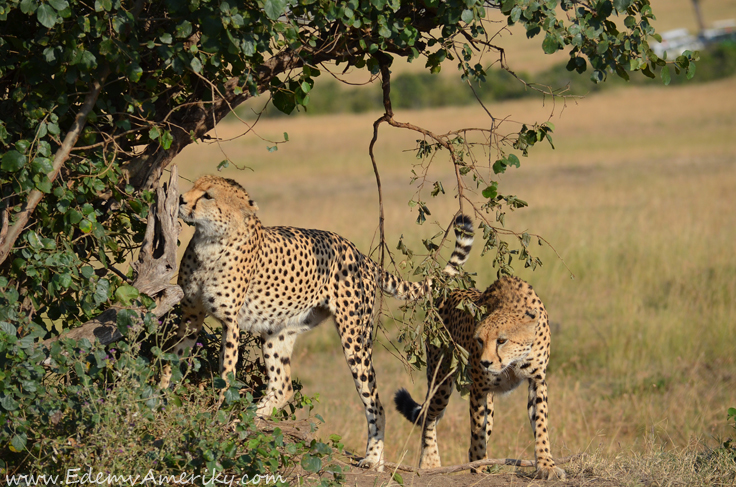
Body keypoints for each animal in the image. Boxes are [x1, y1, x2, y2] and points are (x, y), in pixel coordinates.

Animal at [396, 276, 564, 478]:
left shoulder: (537, 381)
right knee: (429, 414)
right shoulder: (478, 388)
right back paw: (431, 461)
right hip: (441, 382)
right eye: (479, 340)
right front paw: (479, 468)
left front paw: (546, 465)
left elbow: (540, 424)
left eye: (501, 340)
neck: (513, 362)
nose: (485, 363)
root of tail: (448, 291)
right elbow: (477, 432)